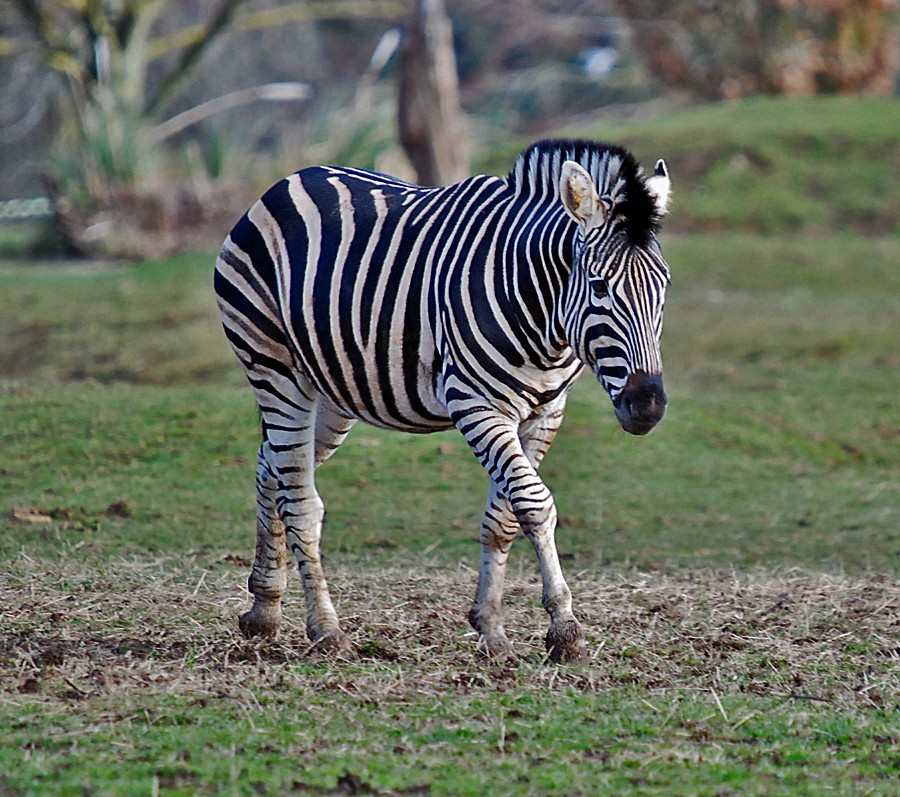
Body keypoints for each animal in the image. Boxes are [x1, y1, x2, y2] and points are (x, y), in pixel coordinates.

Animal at [215, 139, 672, 662]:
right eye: (598, 287)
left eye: (664, 289)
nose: (648, 405)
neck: (543, 317)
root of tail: (291, 179)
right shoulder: (476, 404)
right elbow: (535, 503)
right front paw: (564, 627)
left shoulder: (546, 413)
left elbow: (504, 516)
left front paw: (490, 628)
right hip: (274, 368)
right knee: (300, 501)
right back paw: (326, 630)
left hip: (331, 392)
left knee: (270, 465)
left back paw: (264, 608)